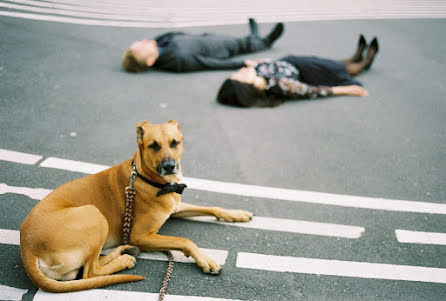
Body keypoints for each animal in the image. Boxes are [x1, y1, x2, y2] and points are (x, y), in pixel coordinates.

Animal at [20, 119, 253, 290]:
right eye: (153, 145)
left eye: (175, 142)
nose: (170, 166)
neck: (147, 178)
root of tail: (27, 248)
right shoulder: (141, 235)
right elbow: (184, 240)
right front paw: (205, 259)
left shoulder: (175, 208)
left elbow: (212, 208)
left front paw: (237, 214)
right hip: (94, 214)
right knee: (90, 271)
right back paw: (124, 260)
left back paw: (125, 251)